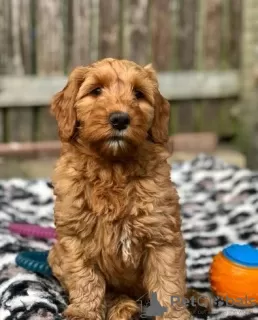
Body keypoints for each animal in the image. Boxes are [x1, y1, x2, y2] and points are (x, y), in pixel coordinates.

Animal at [47, 58, 189, 320]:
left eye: (139, 94)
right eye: (96, 91)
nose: (120, 119)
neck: (113, 170)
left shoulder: (162, 237)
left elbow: (168, 282)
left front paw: (173, 315)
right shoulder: (74, 238)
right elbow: (85, 279)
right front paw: (83, 312)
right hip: (55, 256)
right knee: (112, 293)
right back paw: (123, 307)